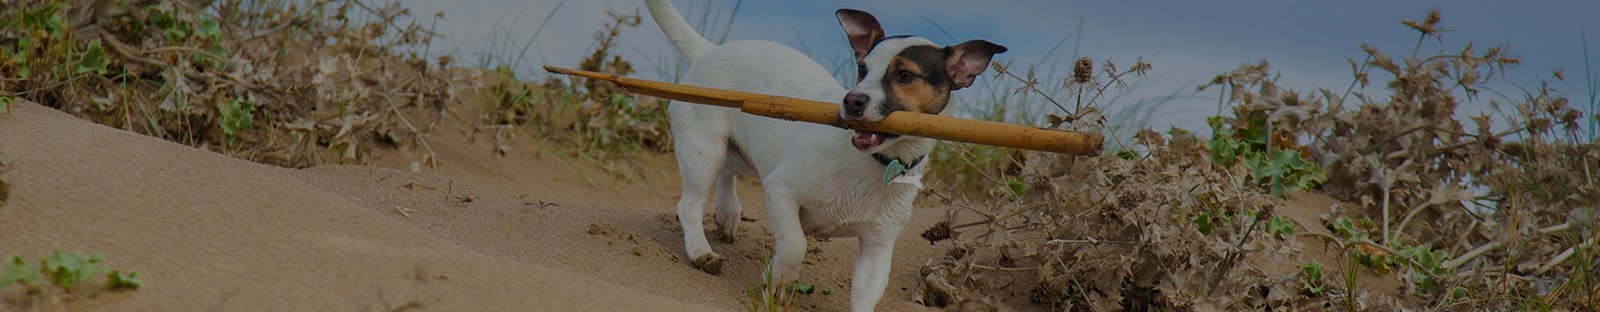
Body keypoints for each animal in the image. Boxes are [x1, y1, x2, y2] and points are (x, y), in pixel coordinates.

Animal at [640, 0, 998, 308]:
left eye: (905, 75)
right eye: (862, 69)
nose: (852, 101)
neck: (876, 162)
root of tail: (709, 50)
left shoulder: (878, 247)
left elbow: (866, 295)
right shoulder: (780, 190)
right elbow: (795, 244)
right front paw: (778, 282)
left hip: (740, 152)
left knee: (728, 172)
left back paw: (728, 214)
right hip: (704, 150)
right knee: (689, 203)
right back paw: (701, 251)